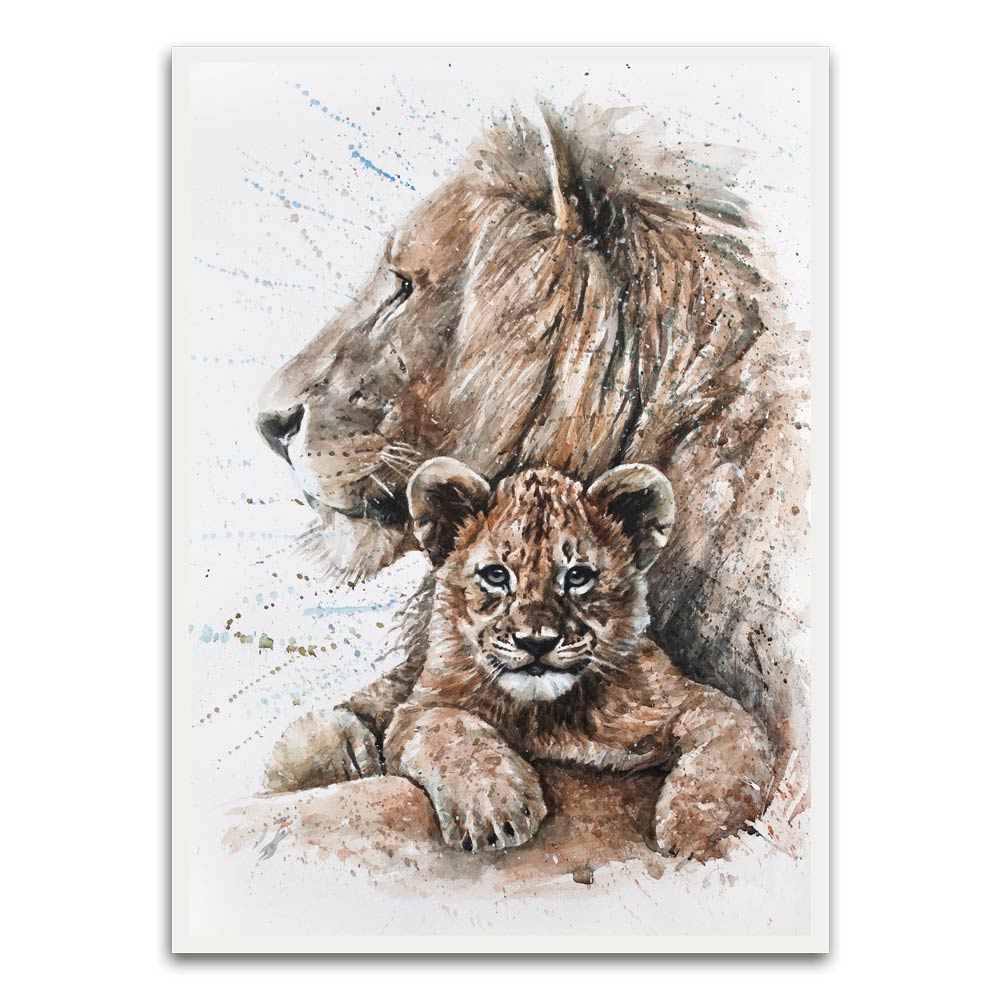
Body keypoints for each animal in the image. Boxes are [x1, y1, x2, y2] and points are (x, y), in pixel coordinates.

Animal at [379, 458, 772, 861]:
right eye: (496, 575)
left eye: (578, 576)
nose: (536, 642)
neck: (546, 716)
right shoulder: (417, 707)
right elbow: (450, 728)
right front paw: (495, 808)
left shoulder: (692, 700)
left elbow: (733, 745)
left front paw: (693, 828)